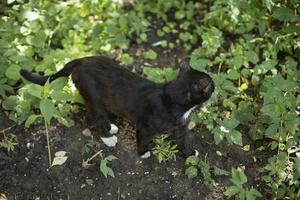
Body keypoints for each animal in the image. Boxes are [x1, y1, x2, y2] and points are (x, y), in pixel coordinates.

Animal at [20, 56, 213, 158]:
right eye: (211, 85)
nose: (215, 85)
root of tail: (82, 60)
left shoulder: (180, 128)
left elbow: (182, 141)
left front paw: (189, 153)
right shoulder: (145, 126)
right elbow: (143, 139)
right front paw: (143, 153)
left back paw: (111, 127)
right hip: (94, 97)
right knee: (95, 117)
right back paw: (108, 137)